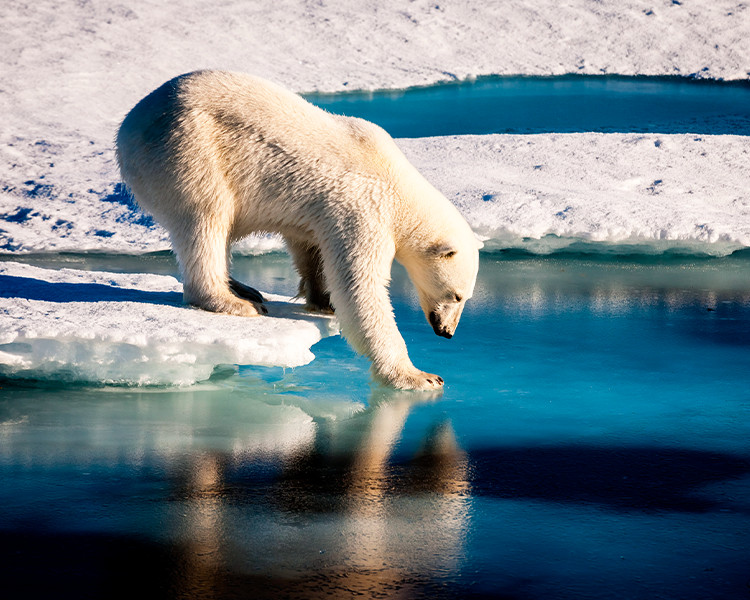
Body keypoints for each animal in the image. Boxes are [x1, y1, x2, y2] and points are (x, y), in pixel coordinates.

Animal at [116, 71, 480, 390]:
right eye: (457, 295)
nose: (447, 332)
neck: (396, 183)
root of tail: (129, 125)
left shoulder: (322, 212)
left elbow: (311, 247)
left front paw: (322, 300)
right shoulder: (364, 210)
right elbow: (361, 287)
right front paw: (419, 376)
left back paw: (244, 288)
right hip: (189, 150)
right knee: (206, 218)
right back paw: (233, 301)